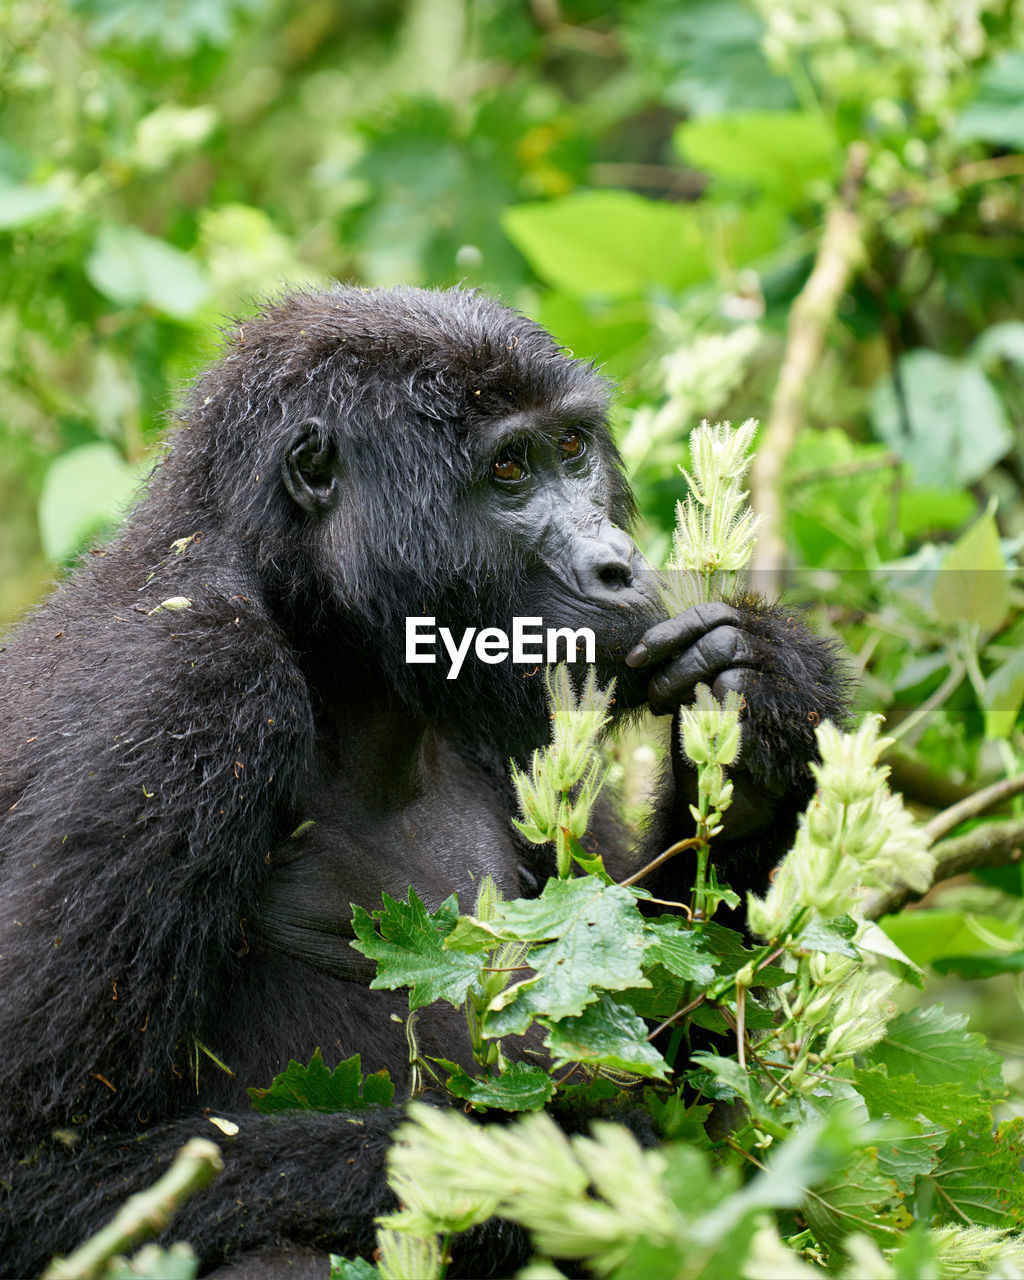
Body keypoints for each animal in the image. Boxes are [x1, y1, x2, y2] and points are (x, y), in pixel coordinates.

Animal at [0, 285, 849, 1274]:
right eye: (509, 468)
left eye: (573, 450)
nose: (620, 568)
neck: (322, 638)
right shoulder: (188, 683)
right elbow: (44, 1167)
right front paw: (582, 1167)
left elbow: (669, 1036)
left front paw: (767, 721)